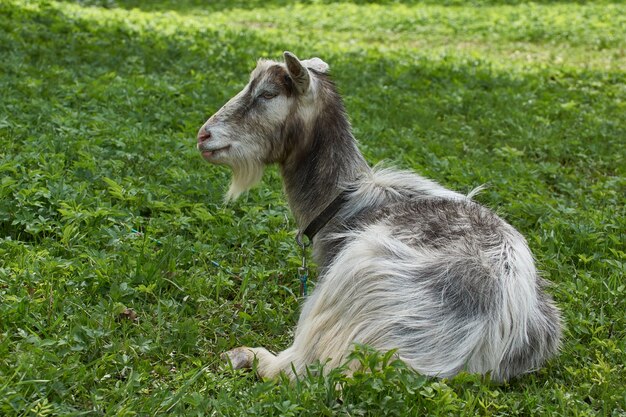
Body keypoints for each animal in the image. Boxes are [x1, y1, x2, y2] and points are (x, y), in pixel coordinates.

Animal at [196, 51, 560, 380]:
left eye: (268, 94)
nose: (204, 136)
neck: (343, 200)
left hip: (357, 279)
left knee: (299, 367)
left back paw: (244, 356)